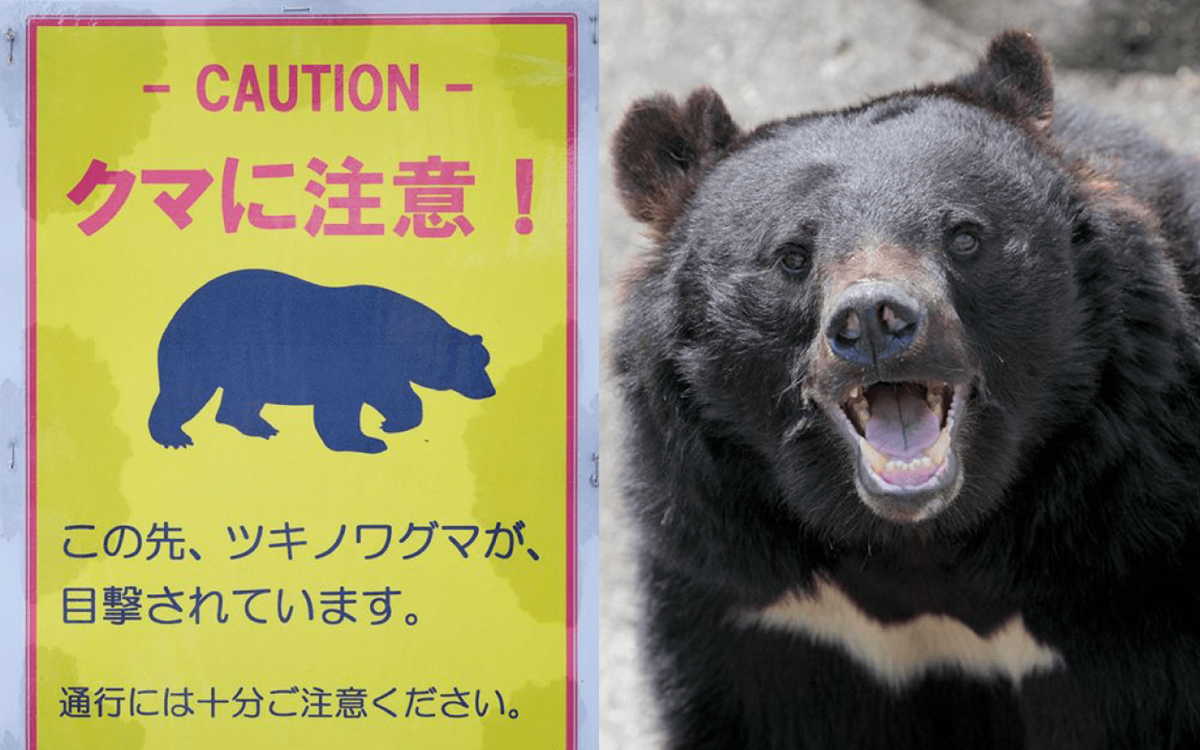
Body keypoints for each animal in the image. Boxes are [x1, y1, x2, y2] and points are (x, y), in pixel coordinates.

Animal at [148, 269, 495, 454]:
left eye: (485, 360)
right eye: (476, 364)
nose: (489, 390)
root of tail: (180, 308)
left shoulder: (386, 370)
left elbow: (397, 395)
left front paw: (390, 424)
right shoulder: (352, 359)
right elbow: (340, 408)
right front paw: (366, 441)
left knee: (242, 398)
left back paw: (260, 426)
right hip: (206, 347)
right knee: (185, 391)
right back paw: (174, 437)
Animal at [611, 30, 1200, 749]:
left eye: (965, 236)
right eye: (791, 257)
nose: (872, 321)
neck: (918, 546)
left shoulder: (1134, 565)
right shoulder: (749, 600)